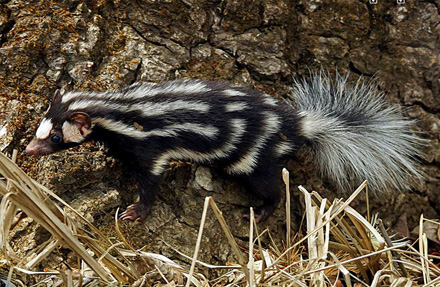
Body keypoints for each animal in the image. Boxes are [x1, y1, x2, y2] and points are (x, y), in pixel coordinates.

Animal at [24, 73, 422, 223]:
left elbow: (151, 176)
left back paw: (260, 212)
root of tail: (296, 123)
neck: (116, 111)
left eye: (55, 138)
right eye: (39, 129)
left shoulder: (150, 143)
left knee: (268, 183)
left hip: (251, 154)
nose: (28, 150)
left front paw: (136, 211)